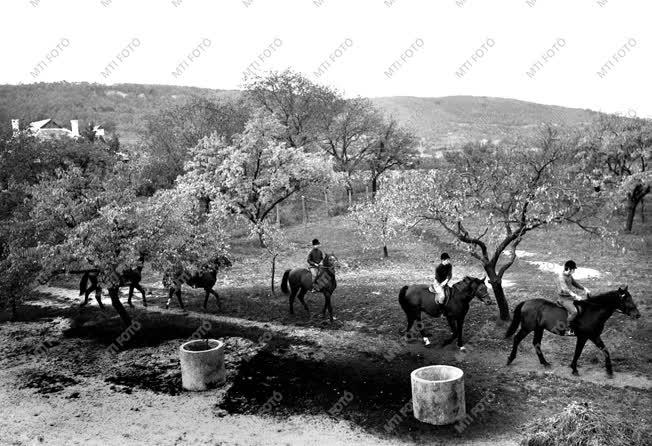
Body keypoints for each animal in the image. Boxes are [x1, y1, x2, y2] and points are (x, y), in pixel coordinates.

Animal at [504, 288, 640, 378]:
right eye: (626, 299)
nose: (638, 315)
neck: (593, 311)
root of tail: (526, 302)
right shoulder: (584, 337)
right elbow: (578, 352)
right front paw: (574, 369)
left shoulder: (594, 336)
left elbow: (605, 350)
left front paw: (609, 371)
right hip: (527, 328)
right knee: (517, 339)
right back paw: (510, 359)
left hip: (539, 329)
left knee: (536, 343)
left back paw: (545, 363)